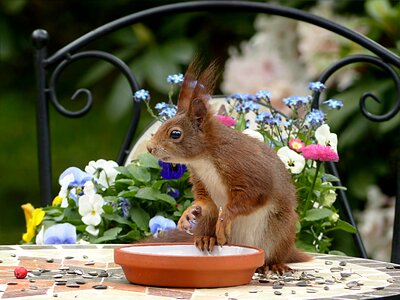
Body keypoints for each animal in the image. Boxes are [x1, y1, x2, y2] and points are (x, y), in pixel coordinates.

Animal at [145, 59, 310, 274]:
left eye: (175, 134)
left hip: (280, 229)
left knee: (274, 254)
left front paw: (225, 220)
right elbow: (204, 202)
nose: (149, 147)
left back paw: (274, 264)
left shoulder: (245, 169)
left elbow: (250, 198)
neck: (204, 159)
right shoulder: (200, 179)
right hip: (208, 221)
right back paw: (207, 239)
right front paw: (189, 212)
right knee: (209, 217)